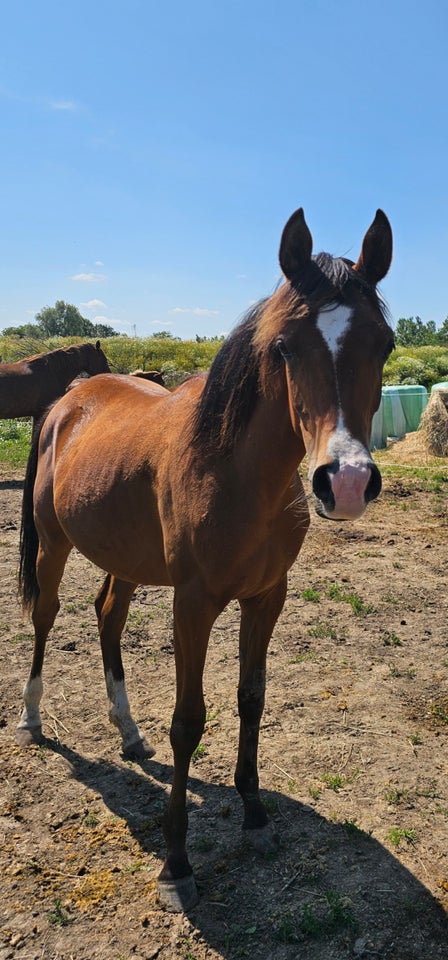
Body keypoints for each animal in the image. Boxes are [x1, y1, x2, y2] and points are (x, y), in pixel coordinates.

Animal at [16, 206, 392, 912]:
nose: (348, 482)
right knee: (45, 618)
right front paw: (176, 864)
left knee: (106, 616)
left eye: (383, 343)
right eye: (285, 346)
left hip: (125, 559)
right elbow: (189, 722)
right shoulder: (193, 604)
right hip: (54, 546)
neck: (239, 474)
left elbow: (251, 698)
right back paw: (30, 719)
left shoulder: (266, 597)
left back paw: (127, 732)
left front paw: (255, 814)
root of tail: (69, 397)